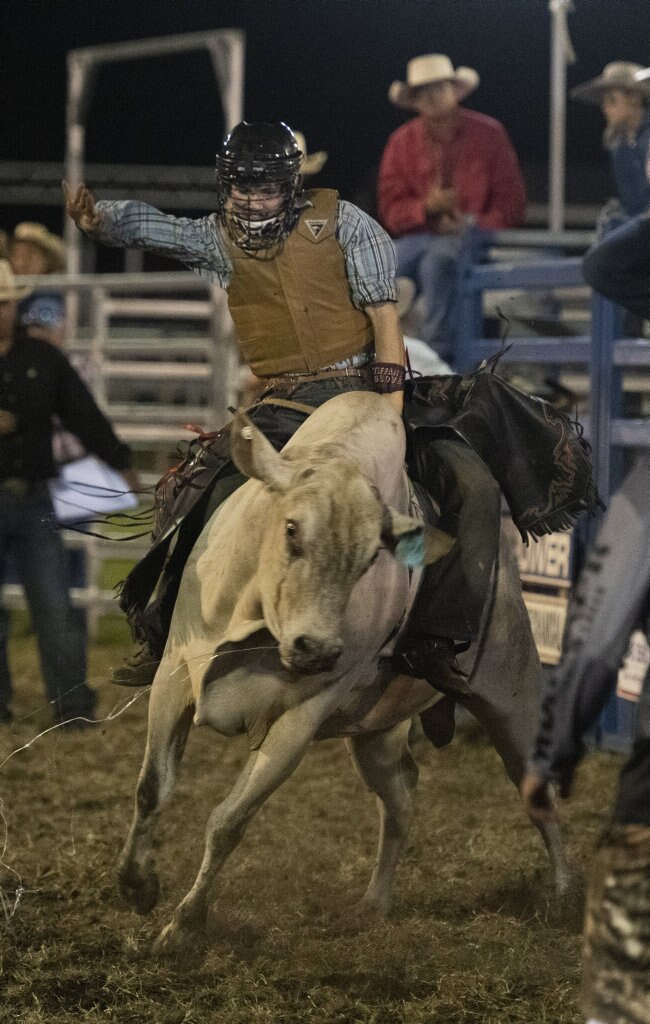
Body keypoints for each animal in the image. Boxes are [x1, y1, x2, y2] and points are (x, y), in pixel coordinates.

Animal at [118, 389, 569, 950]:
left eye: (370, 556)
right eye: (291, 529)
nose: (317, 649)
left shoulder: (301, 718)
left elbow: (229, 821)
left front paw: (183, 925)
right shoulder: (175, 677)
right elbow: (151, 789)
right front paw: (136, 884)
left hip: (514, 698)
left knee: (538, 793)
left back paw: (565, 895)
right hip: (374, 735)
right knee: (400, 799)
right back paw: (373, 904)